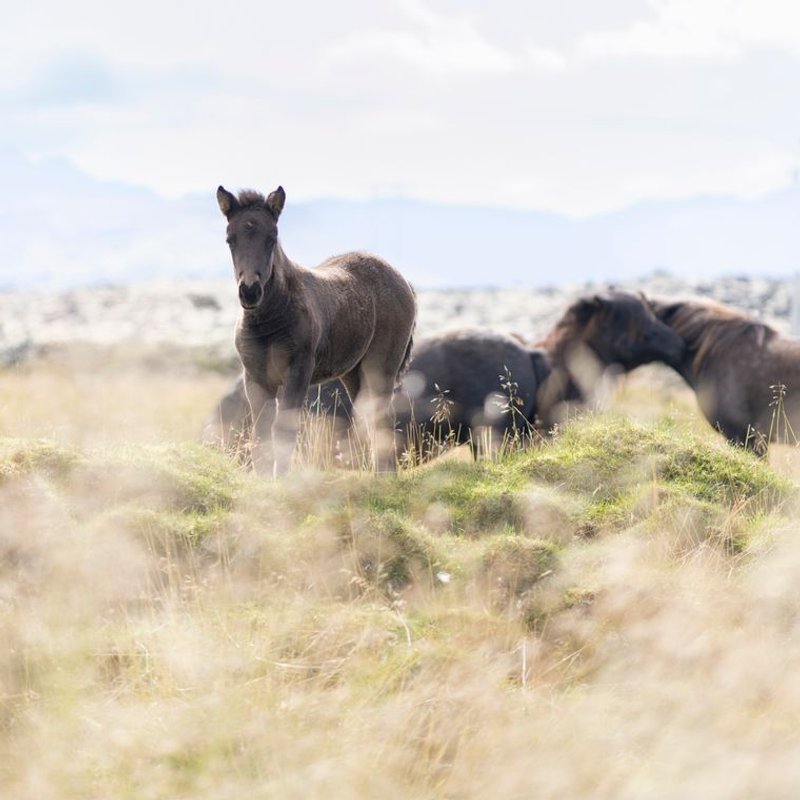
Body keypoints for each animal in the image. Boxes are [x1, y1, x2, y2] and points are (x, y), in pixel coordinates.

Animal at [217, 185, 416, 474]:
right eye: (230, 239)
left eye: (272, 238)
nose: (250, 291)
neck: (268, 321)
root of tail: (401, 278)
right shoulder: (255, 377)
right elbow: (260, 435)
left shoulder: (298, 370)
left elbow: (284, 430)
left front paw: (281, 480)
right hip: (353, 372)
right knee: (369, 414)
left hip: (381, 365)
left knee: (382, 416)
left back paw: (386, 476)